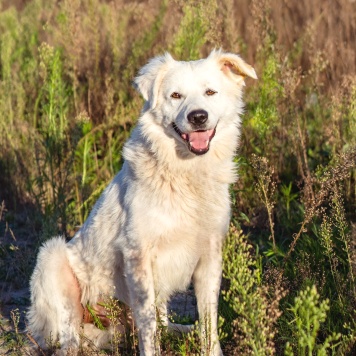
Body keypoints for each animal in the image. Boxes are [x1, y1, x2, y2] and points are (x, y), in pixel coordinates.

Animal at [27, 48, 256, 354]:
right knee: (71, 338)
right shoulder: (138, 257)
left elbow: (209, 323)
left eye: (210, 92)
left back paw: (183, 330)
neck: (184, 174)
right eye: (176, 95)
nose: (198, 117)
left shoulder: (210, 255)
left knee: (165, 324)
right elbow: (148, 329)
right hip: (52, 257)